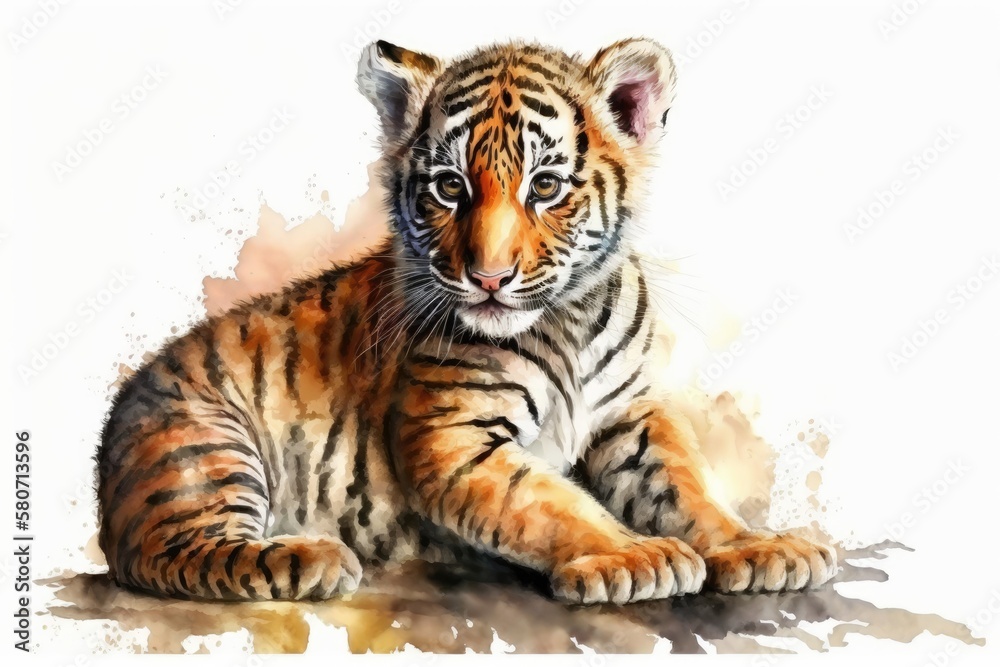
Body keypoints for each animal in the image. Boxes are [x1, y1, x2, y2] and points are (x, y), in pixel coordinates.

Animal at [95, 38, 837, 604]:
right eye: (450, 186)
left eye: (545, 186)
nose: (487, 276)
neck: (568, 321)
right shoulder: (453, 438)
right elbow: (552, 500)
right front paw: (636, 556)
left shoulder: (630, 416)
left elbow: (687, 485)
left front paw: (759, 546)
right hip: (204, 448)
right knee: (185, 555)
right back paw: (310, 556)